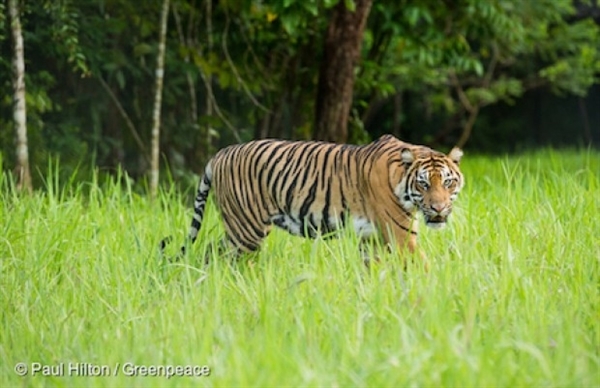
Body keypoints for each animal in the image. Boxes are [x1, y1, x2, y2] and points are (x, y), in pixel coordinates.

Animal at [161, 134, 464, 266]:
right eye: (423, 184)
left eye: (447, 182)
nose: (438, 208)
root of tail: (219, 154)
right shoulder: (400, 236)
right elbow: (425, 267)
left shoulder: (372, 239)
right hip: (244, 230)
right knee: (217, 255)